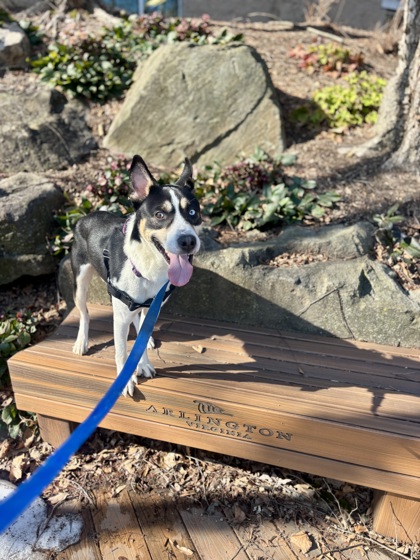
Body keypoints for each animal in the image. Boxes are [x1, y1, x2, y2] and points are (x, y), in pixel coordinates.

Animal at [71, 155, 202, 397]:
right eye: (159, 214)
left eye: (192, 213)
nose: (188, 241)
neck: (147, 264)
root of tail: (87, 216)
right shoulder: (121, 313)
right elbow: (122, 350)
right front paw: (126, 380)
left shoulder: (153, 305)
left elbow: (141, 330)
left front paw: (143, 362)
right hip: (81, 281)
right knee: (84, 312)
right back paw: (81, 341)